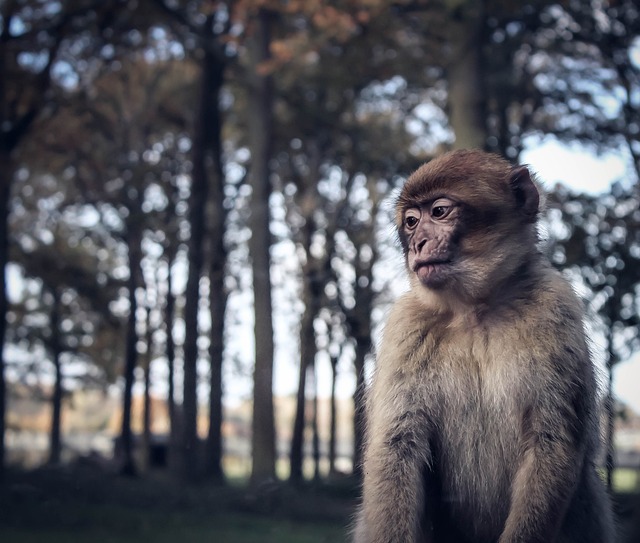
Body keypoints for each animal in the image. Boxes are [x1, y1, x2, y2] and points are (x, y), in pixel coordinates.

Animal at [356, 150, 616, 543]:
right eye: (412, 222)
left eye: (439, 212)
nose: (417, 244)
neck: (474, 311)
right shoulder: (406, 326)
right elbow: (396, 446)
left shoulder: (556, 307)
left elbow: (552, 441)